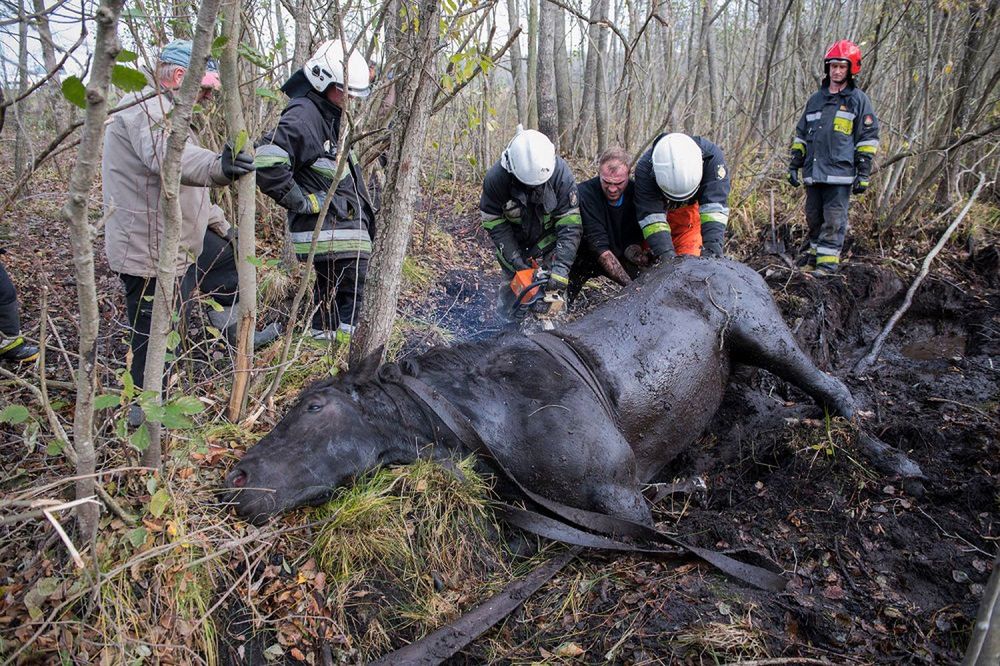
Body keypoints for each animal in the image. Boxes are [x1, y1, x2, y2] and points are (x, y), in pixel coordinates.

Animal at [227, 260, 876, 524]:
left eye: (314, 405)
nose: (235, 476)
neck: (479, 420)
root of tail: (734, 262)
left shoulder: (621, 494)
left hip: (762, 331)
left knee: (826, 382)